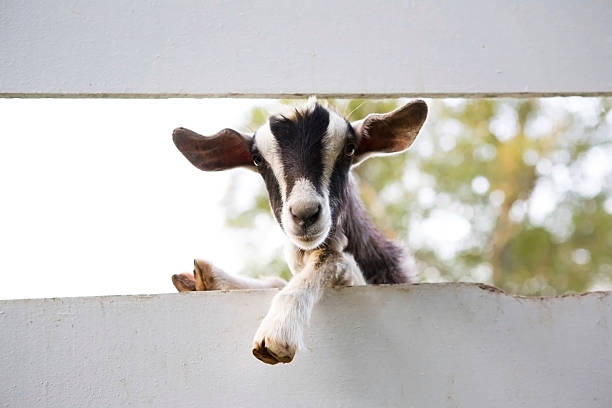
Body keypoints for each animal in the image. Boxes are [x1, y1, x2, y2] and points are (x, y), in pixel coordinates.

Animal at [170, 98, 428, 364]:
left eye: (349, 148)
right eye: (257, 158)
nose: (305, 213)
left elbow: (332, 258)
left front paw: (279, 328)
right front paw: (207, 279)